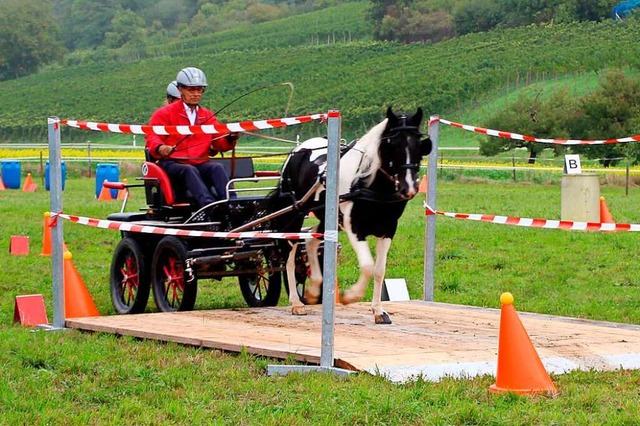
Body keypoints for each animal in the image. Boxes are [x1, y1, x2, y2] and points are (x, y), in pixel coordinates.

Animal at [276, 108, 430, 324]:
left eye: (418, 143)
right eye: (393, 144)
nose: (409, 188)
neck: (367, 182)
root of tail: (297, 151)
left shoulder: (388, 229)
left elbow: (379, 270)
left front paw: (379, 311)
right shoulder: (354, 227)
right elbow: (367, 266)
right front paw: (350, 296)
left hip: (328, 218)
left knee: (311, 242)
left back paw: (314, 290)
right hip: (296, 214)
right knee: (289, 254)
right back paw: (296, 303)